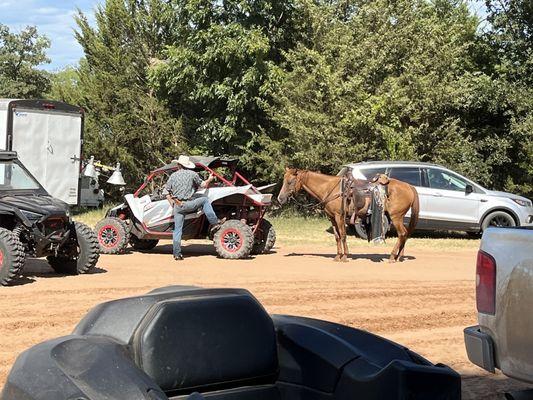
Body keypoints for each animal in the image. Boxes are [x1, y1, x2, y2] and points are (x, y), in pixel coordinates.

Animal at [276, 168, 418, 262]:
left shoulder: (339, 216)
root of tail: (409, 186)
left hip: (396, 217)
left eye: (290, 182)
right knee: (404, 234)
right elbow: (337, 237)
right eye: (284, 180)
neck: (330, 188)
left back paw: (393, 257)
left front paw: (344, 256)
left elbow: (343, 235)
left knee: (402, 233)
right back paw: (399, 256)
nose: (280, 199)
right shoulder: (332, 218)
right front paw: (338, 256)